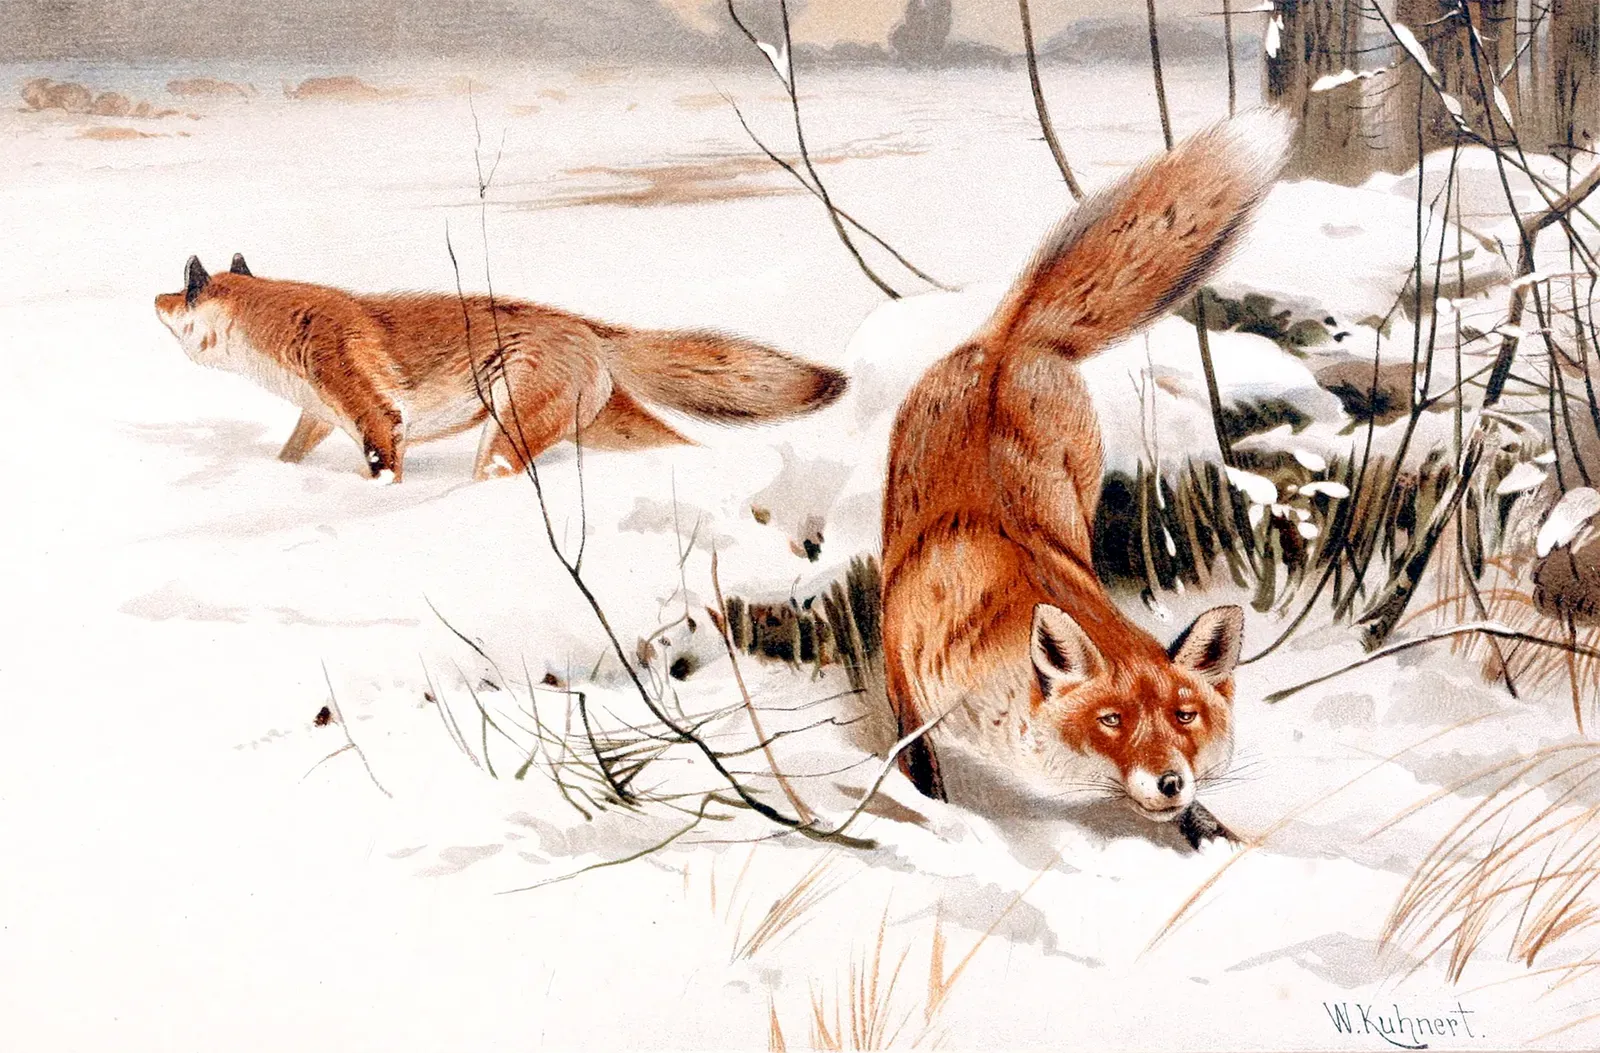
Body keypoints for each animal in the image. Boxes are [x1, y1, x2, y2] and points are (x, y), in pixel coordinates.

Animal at [154, 255, 847, 482]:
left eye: (182, 292)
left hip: (504, 437)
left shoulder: (378, 420)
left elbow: (382, 473)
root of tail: (588, 328)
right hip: (605, 429)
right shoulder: (320, 416)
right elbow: (289, 456)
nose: (152, 299)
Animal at [881, 111, 1292, 849]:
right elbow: (919, 770)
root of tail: (1008, 340)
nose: (1170, 780)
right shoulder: (906, 676)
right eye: (1112, 721)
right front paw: (938, 820)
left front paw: (1218, 840)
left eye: (1185, 716)